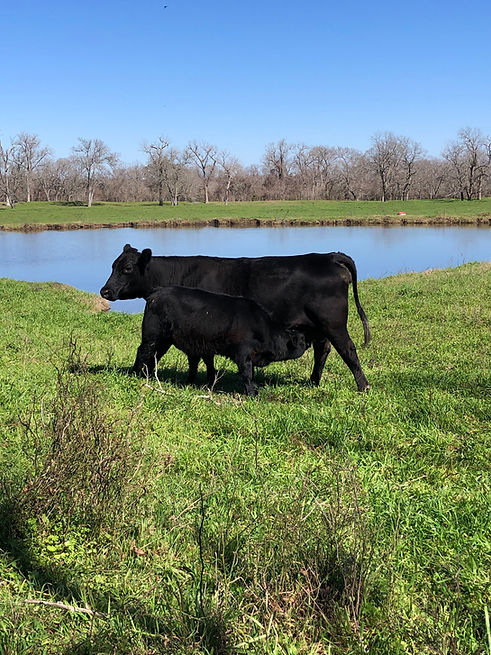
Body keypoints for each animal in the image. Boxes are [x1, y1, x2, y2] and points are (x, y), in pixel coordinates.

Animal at [132, 286, 308, 396]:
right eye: (301, 338)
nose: (308, 343)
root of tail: (157, 291)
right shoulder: (242, 353)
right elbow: (247, 373)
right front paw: (252, 393)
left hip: (165, 340)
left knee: (155, 356)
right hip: (153, 336)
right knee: (143, 352)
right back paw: (136, 374)